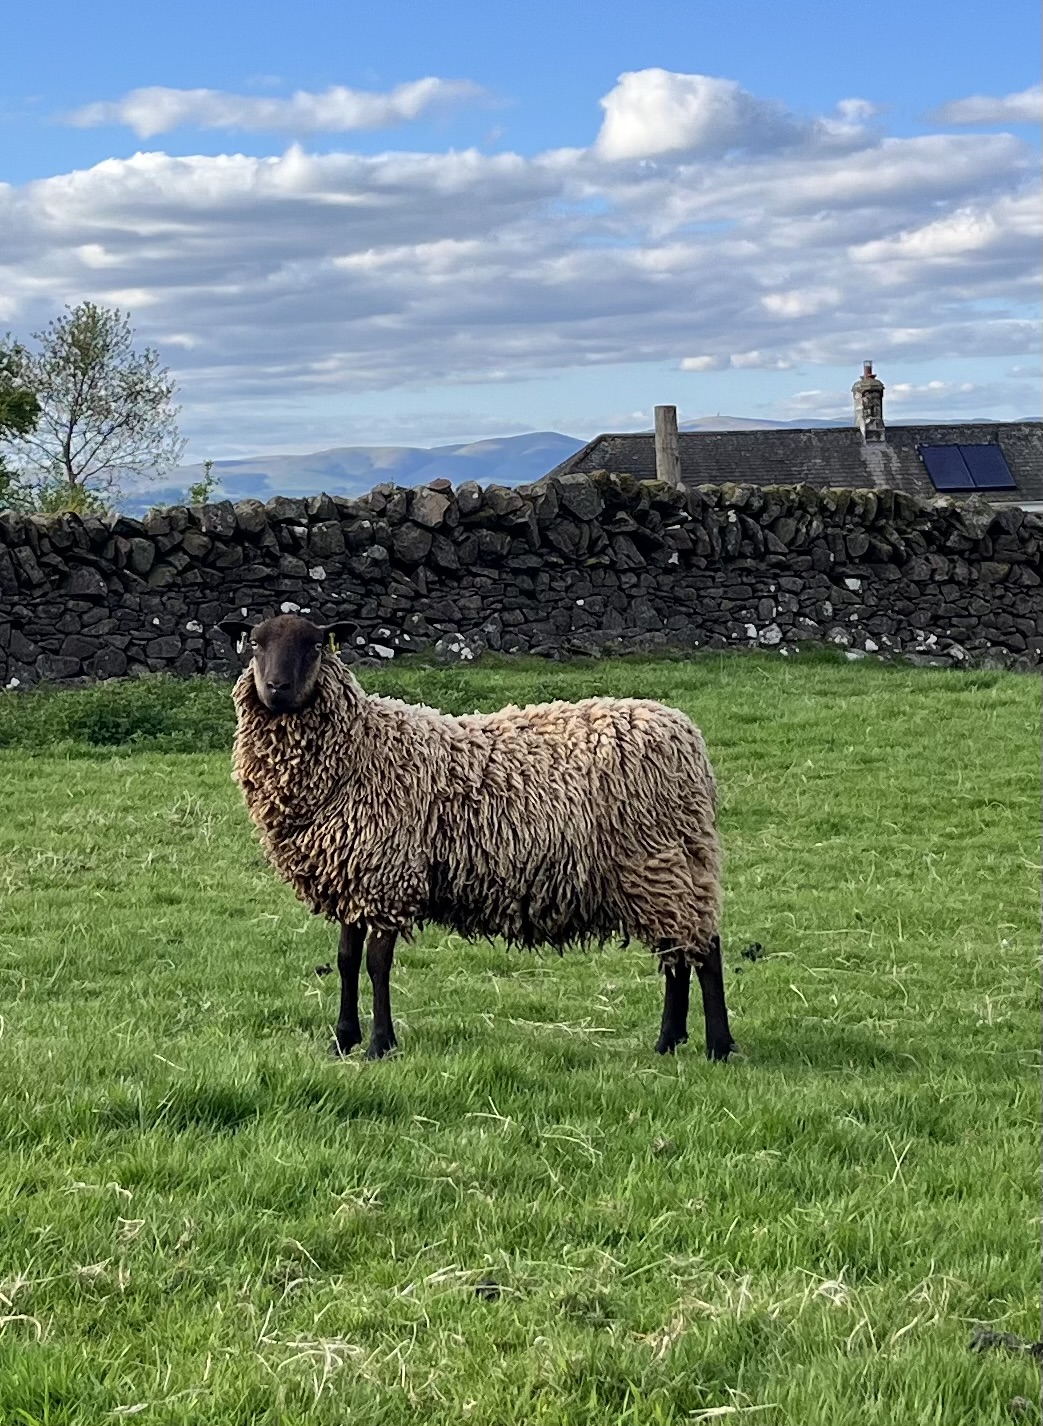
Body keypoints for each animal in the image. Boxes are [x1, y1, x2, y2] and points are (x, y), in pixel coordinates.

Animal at [218, 612, 735, 1062]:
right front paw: (343, 1039)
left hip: (663, 859)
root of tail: (682, 729)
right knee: (677, 953)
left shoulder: (388, 875)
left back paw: (718, 1046)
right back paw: (669, 1041)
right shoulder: (353, 875)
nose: (277, 688)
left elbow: (377, 965)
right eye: (256, 643)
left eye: (313, 646)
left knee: (704, 950)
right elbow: (346, 961)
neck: (362, 748)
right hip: (666, 868)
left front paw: (380, 1044)